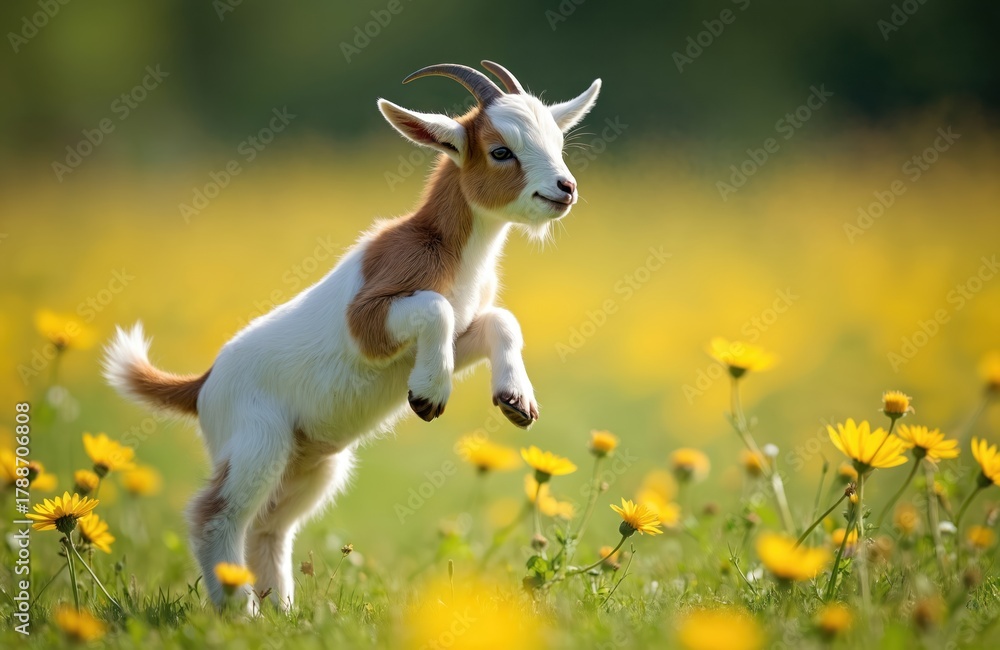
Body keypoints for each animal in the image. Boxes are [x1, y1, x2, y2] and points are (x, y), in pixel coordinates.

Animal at [103, 61, 601, 610]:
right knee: (215, 515)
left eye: (558, 140)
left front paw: (515, 400)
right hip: (257, 439)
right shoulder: (368, 319)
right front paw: (428, 396)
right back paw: (241, 611)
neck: (447, 248)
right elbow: (434, 307)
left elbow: (499, 320)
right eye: (500, 151)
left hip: (311, 464)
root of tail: (203, 384)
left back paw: (282, 611)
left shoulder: (463, 330)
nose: (565, 188)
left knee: (269, 526)